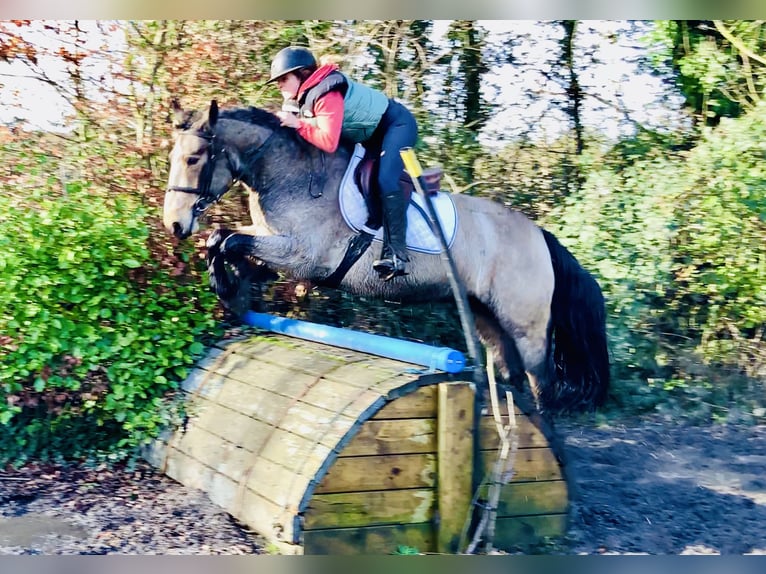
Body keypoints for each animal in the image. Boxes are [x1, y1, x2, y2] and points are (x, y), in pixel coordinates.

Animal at [163, 99, 610, 415]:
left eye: (193, 159)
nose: (175, 225)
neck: (290, 174)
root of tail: (539, 235)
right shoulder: (272, 238)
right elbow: (222, 239)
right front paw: (234, 285)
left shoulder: (304, 255)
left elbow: (230, 242)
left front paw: (231, 286)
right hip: (487, 317)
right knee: (510, 372)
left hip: (526, 324)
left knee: (540, 381)